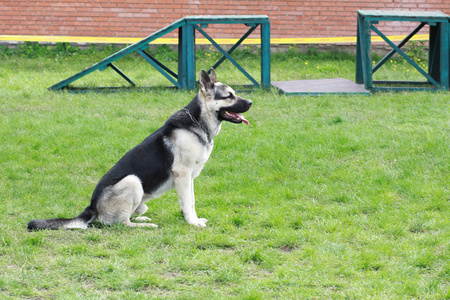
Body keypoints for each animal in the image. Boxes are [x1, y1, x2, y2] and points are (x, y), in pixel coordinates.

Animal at [27, 69, 253, 231]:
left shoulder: (190, 178)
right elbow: (188, 203)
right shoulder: (183, 174)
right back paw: (146, 226)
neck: (197, 121)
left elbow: (191, 201)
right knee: (120, 223)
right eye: (229, 96)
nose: (251, 102)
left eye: (234, 94)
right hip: (133, 181)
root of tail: (92, 207)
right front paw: (192, 222)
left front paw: (192, 219)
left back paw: (142, 218)